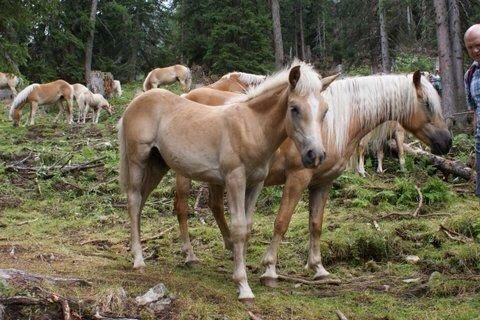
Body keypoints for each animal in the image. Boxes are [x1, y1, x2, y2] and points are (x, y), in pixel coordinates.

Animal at [119, 60, 330, 302]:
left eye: (325, 110)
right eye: (294, 108)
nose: (316, 155)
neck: (252, 127)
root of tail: (136, 102)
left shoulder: (255, 183)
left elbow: (247, 227)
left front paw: (241, 272)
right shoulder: (235, 179)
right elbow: (237, 228)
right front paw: (243, 286)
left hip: (158, 165)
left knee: (141, 202)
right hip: (138, 160)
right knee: (134, 200)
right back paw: (139, 260)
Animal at [174, 70, 452, 284]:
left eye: (325, 111)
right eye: (427, 103)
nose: (446, 143)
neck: (333, 126)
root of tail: (187, 95)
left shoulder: (322, 183)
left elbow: (315, 224)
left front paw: (318, 268)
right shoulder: (298, 178)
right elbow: (282, 222)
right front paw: (270, 269)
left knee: (215, 207)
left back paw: (232, 247)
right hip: (184, 175)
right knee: (182, 208)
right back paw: (190, 255)